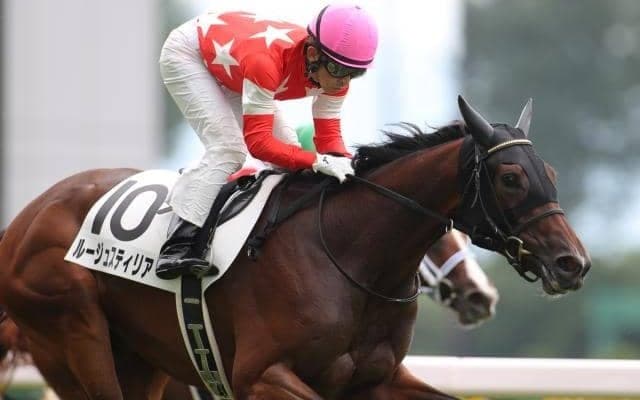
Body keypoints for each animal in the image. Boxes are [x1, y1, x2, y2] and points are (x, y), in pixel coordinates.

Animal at [0, 96, 590, 399]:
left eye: (552, 174)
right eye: (511, 178)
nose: (573, 263)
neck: (351, 259)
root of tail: (23, 221)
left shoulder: (379, 380)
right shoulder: (260, 376)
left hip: (142, 361)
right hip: (71, 330)